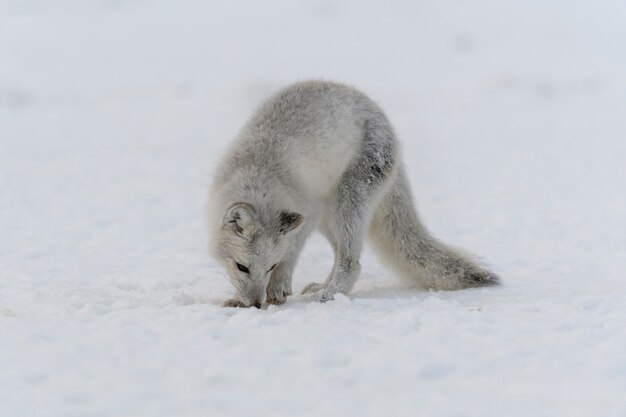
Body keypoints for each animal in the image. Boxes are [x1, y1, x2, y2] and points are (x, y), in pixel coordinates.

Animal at [210, 80, 498, 306]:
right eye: (241, 267)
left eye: (270, 266)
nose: (256, 304)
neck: (260, 176)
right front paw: (237, 298)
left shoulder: (307, 213)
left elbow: (291, 254)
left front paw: (279, 286)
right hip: (330, 216)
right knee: (340, 252)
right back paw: (322, 287)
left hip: (348, 201)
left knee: (351, 261)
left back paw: (328, 295)